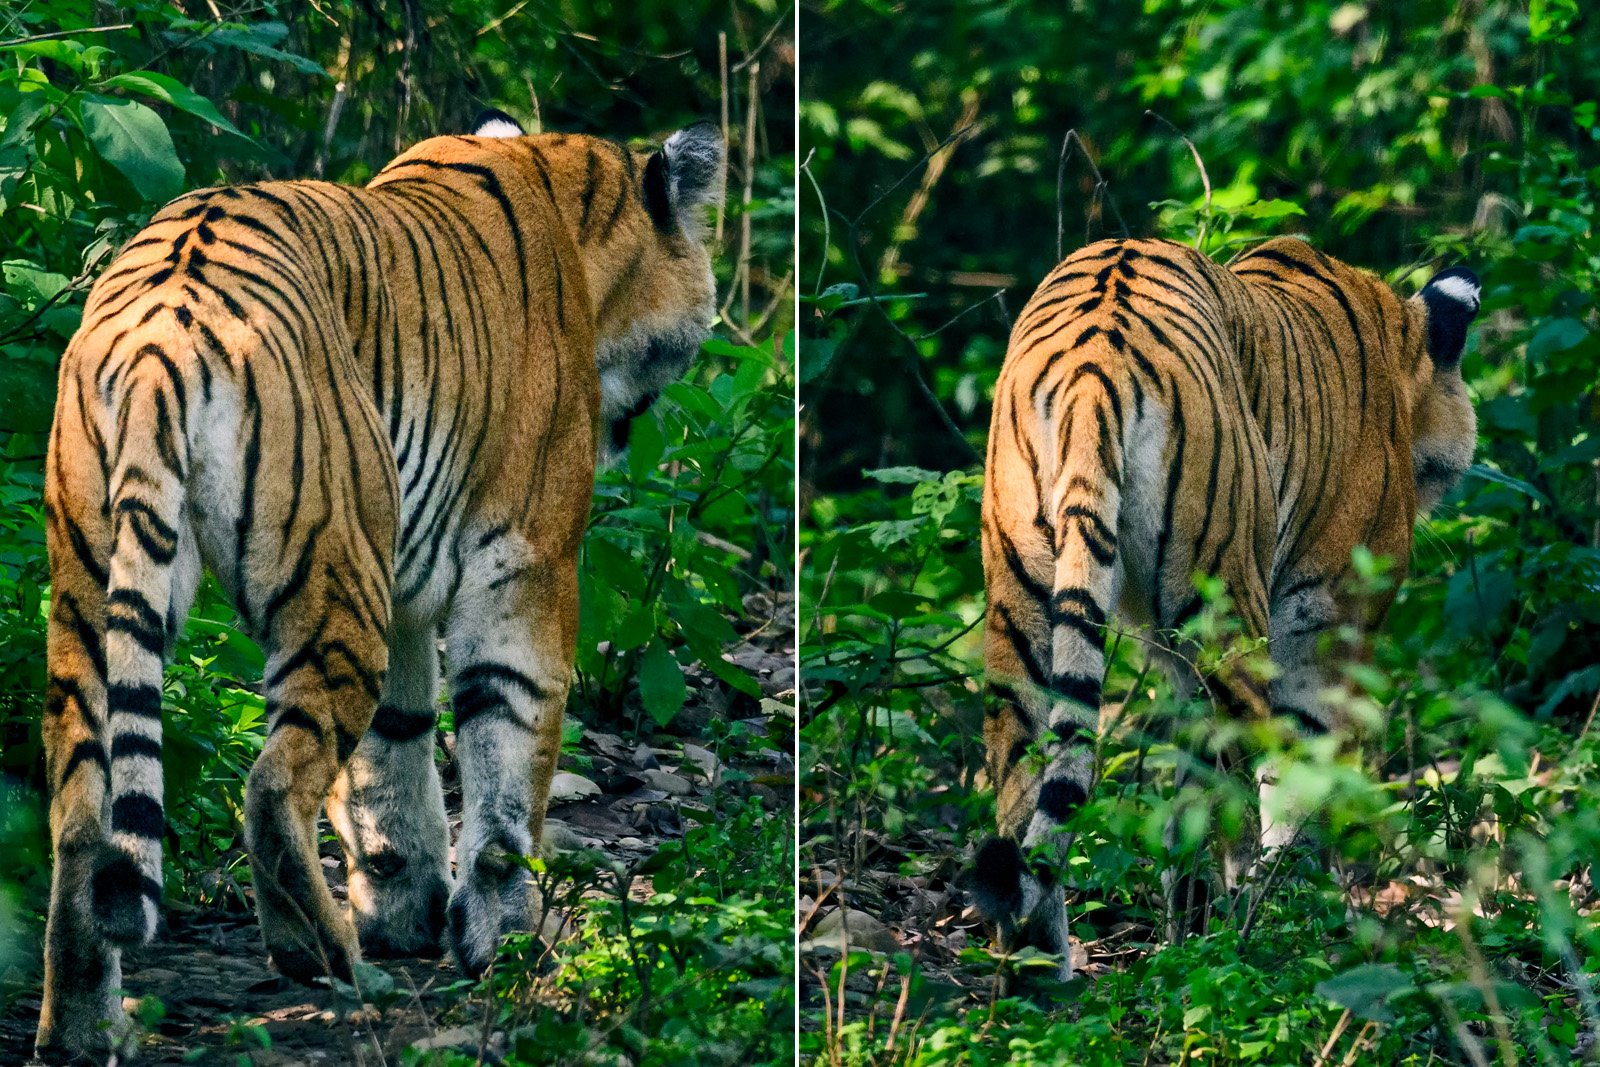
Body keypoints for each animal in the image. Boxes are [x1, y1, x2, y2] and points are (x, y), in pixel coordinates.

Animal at [36, 107, 724, 1058]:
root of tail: (155, 342)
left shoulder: (403, 578)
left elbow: (390, 753)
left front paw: (407, 907)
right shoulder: (526, 562)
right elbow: (507, 749)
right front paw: (504, 933)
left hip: (92, 589)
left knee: (81, 817)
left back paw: (84, 1025)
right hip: (335, 574)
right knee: (272, 785)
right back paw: (327, 956)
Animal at [974, 236, 1480, 978]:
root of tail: (1094, 365)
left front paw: (1189, 915)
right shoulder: (1327, 614)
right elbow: (1302, 772)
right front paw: (1298, 903)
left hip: (1026, 598)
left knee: (1023, 774)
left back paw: (1037, 967)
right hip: (1228, 595)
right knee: (1242, 768)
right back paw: (1247, 937)